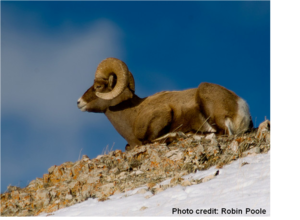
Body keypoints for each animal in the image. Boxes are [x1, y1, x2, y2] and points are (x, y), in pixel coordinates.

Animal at [78, 57, 253, 150]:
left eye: (98, 87)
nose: (79, 102)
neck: (132, 114)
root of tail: (241, 106)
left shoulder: (162, 117)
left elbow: (150, 140)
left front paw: (174, 135)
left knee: (220, 133)